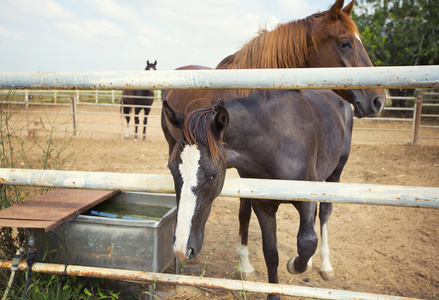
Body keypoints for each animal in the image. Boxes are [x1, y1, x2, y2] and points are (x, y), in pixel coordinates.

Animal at [164, 89, 354, 300]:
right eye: (171, 168)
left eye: (213, 174)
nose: (182, 248)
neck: (277, 143)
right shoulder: (263, 206)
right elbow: (271, 253)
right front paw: (274, 294)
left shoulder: (307, 198)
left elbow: (307, 242)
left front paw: (294, 266)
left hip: (335, 174)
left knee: (324, 213)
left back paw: (325, 266)